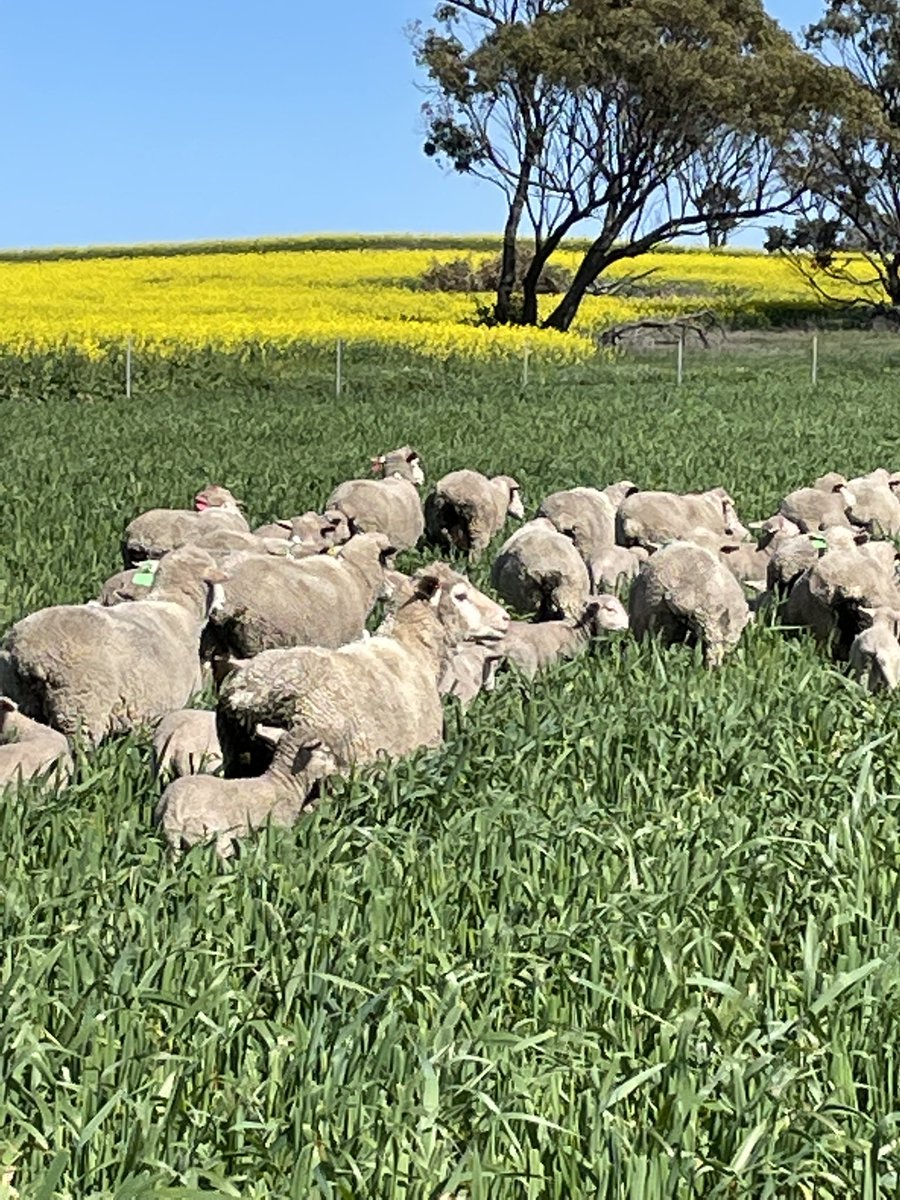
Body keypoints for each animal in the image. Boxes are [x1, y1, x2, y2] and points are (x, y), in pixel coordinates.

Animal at [154, 727, 330, 857]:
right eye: (323, 752)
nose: (334, 767)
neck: (282, 782)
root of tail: (174, 810)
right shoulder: (279, 826)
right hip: (211, 836)